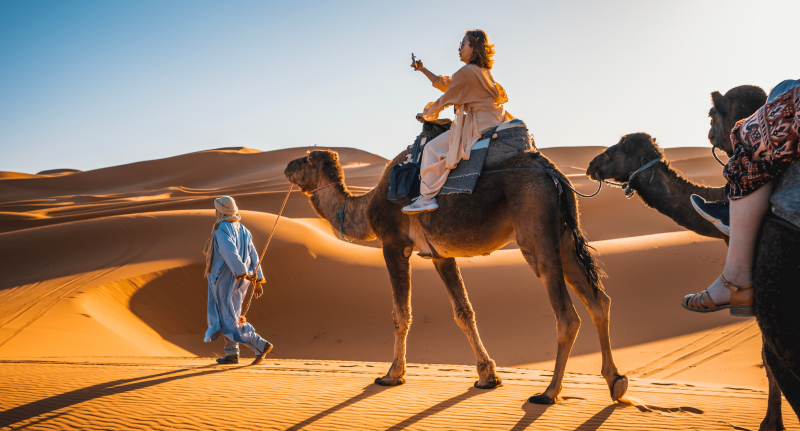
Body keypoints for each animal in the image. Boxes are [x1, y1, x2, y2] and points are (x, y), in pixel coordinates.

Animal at [284, 143, 628, 406]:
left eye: (305, 159)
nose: (287, 166)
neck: (365, 208)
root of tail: (551, 171)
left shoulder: (393, 245)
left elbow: (401, 313)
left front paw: (392, 374)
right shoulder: (441, 254)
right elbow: (463, 311)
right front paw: (488, 376)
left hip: (536, 232)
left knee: (567, 316)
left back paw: (548, 393)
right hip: (564, 236)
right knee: (599, 301)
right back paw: (615, 382)